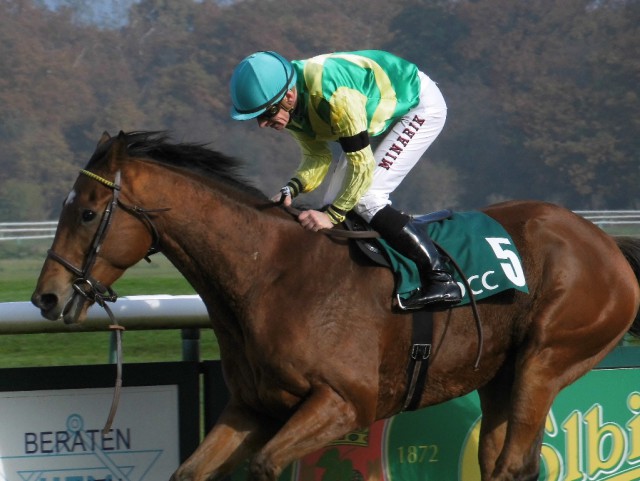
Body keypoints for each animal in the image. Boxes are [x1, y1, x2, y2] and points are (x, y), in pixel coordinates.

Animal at [31, 129, 640, 478]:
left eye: (87, 212)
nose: (45, 296)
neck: (268, 275)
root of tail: (604, 241)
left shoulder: (345, 401)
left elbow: (268, 464)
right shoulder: (252, 407)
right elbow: (190, 472)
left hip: (548, 360)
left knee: (516, 462)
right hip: (497, 374)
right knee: (500, 463)